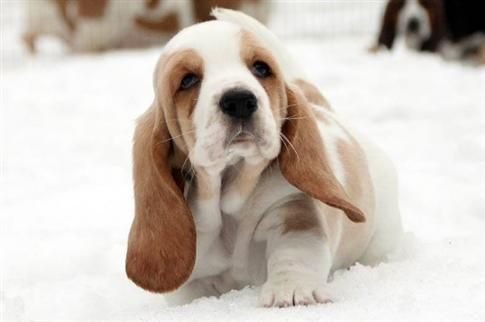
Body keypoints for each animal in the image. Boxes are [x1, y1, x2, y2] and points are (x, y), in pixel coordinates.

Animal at [126, 9, 402, 306]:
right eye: (188, 80)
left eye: (261, 68)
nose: (238, 100)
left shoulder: (293, 211)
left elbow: (294, 254)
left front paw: (291, 291)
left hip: (382, 236)